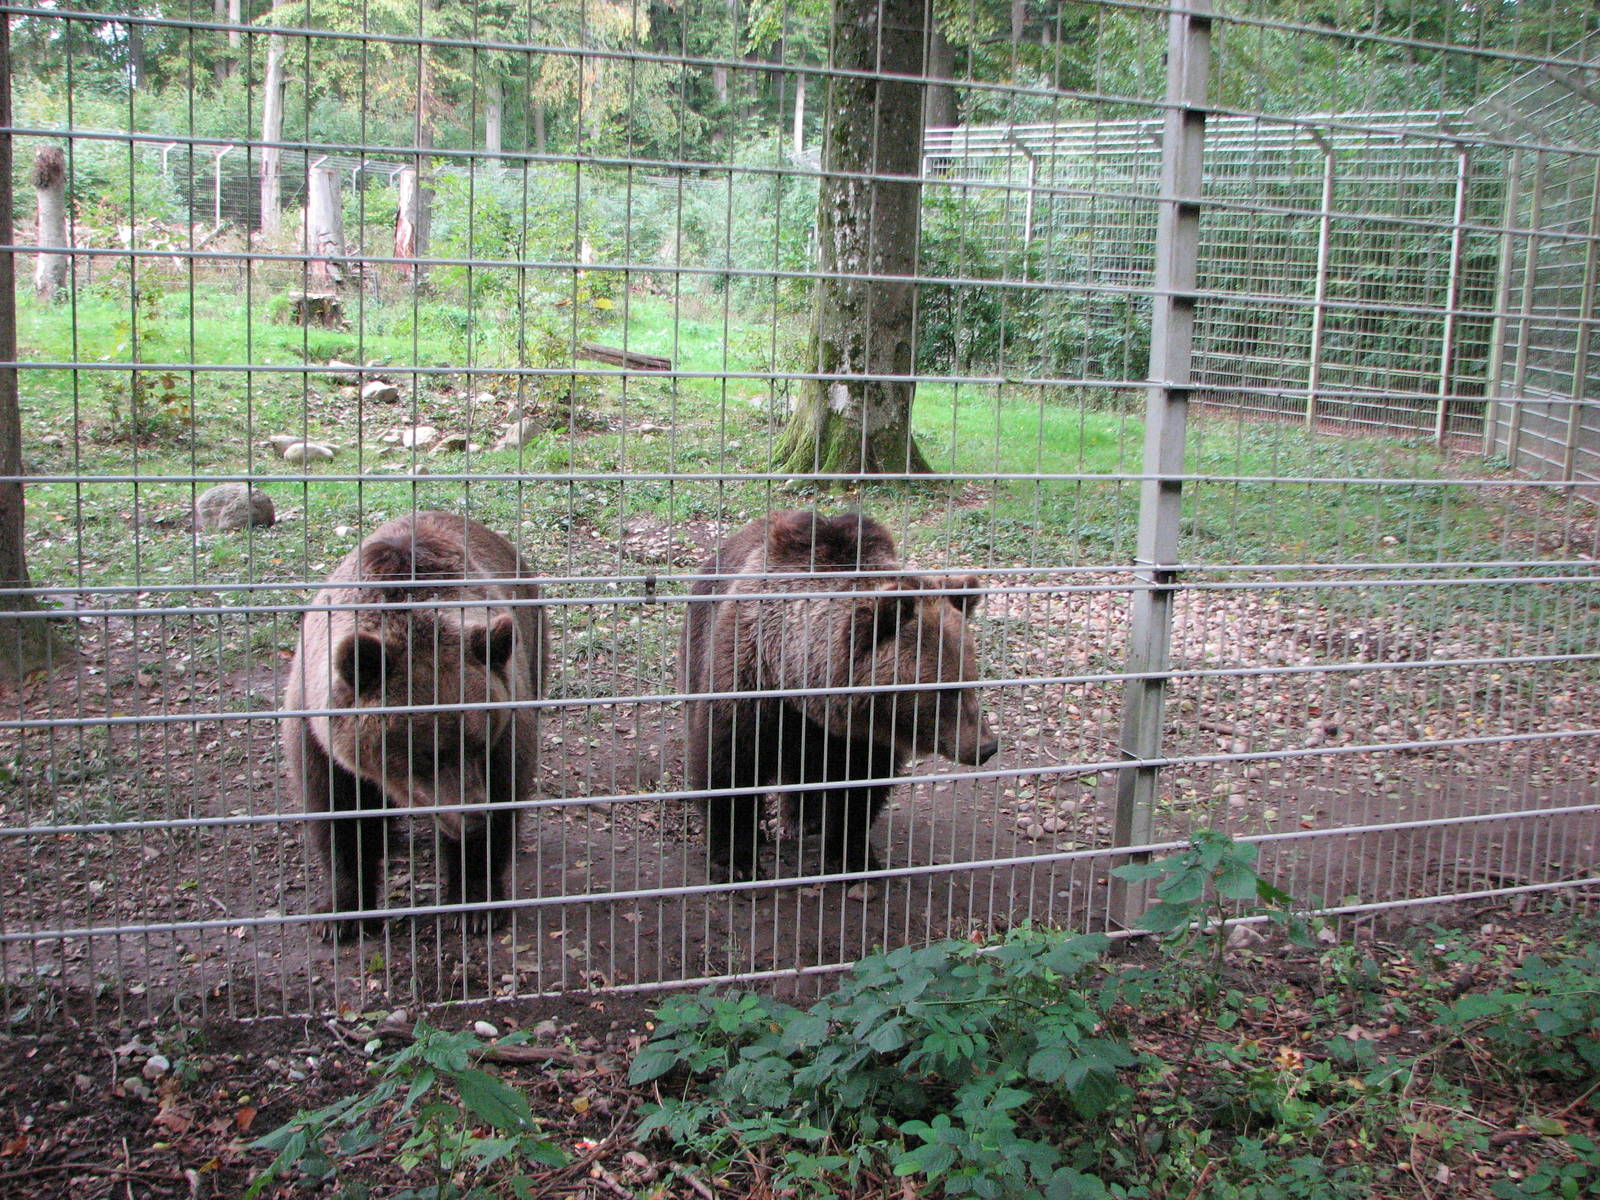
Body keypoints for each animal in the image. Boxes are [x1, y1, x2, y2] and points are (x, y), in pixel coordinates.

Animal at [281, 511, 545, 940]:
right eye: (424, 753)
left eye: (478, 741)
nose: (473, 815)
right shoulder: (316, 733)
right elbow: (338, 818)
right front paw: (341, 914)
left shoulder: (507, 721)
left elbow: (504, 792)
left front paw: (476, 904)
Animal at [679, 509, 998, 883]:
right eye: (942, 690)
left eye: (971, 679)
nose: (986, 746)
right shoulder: (748, 676)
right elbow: (729, 765)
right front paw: (737, 861)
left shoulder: (863, 735)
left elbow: (859, 789)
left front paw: (853, 856)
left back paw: (807, 819)